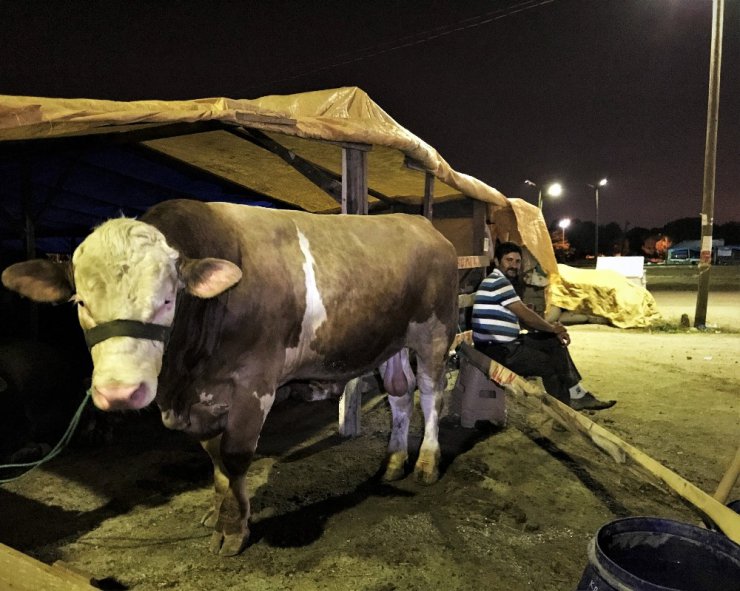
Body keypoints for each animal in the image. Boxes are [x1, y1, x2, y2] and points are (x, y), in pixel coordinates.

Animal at [2, 199, 460, 556]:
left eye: (167, 300)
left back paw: (426, 462)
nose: (120, 392)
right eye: (80, 301)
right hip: (391, 340)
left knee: (431, 395)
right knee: (399, 394)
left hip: (435, 332)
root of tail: (420, 224)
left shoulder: (254, 384)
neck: (183, 377)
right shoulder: (201, 401)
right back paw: (394, 460)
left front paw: (233, 531)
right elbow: (215, 456)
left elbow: (236, 455)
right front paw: (218, 511)